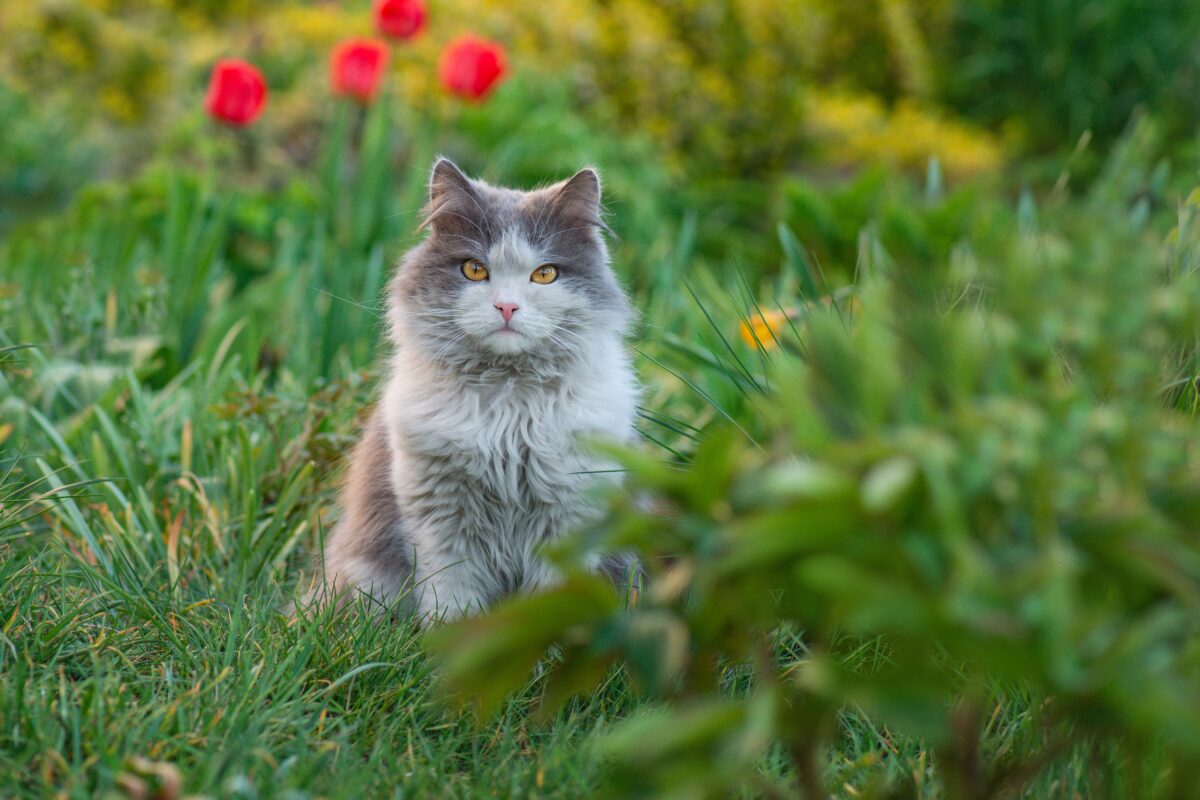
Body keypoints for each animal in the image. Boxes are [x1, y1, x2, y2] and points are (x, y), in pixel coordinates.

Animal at [304, 154, 643, 618]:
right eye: (475, 270)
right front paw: (453, 637)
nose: (506, 307)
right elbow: (453, 596)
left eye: (545, 274)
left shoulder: (570, 510)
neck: (508, 402)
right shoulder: (441, 512)